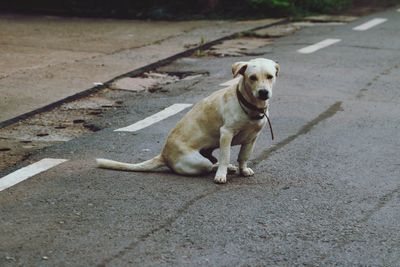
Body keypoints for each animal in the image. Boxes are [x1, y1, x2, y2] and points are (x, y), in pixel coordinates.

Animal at [95, 58, 280, 184]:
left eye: (270, 76)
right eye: (252, 77)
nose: (263, 92)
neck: (250, 105)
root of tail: (164, 155)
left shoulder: (252, 137)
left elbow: (243, 156)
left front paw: (243, 169)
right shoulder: (226, 133)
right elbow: (226, 155)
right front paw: (221, 175)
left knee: (215, 159)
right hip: (199, 162)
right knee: (211, 164)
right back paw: (220, 169)